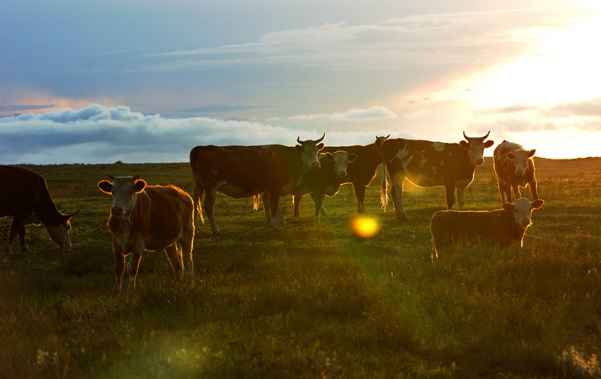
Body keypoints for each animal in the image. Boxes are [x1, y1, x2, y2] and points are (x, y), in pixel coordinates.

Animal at [191, 134, 326, 235]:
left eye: (317, 151)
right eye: (305, 151)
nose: (315, 164)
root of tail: (202, 147)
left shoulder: (273, 189)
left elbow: (276, 206)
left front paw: (276, 223)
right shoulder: (275, 187)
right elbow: (274, 206)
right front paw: (275, 226)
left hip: (198, 185)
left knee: (195, 204)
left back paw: (194, 229)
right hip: (211, 187)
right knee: (208, 206)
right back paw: (216, 230)